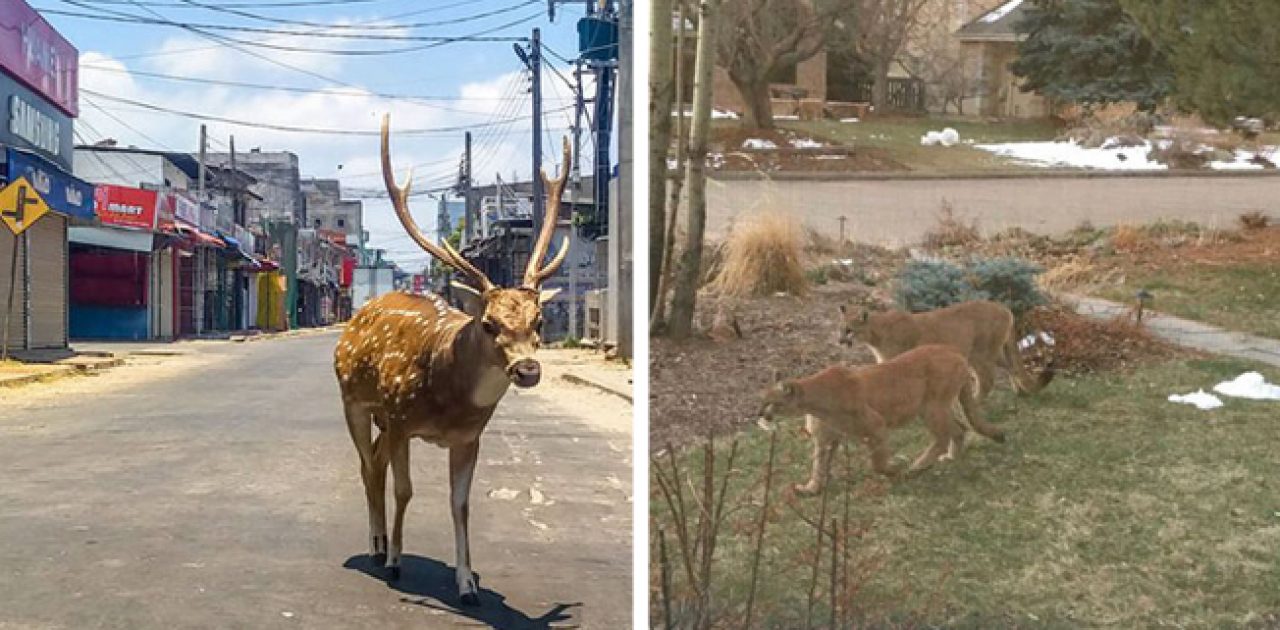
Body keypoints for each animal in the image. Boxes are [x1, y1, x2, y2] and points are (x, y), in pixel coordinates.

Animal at [335, 114, 565, 604]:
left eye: (538, 321)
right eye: (489, 324)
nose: (527, 369)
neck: (446, 398)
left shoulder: (468, 437)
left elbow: (460, 505)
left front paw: (467, 583)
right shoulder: (401, 418)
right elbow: (405, 490)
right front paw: (397, 563)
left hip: (381, 418)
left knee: (375, 462)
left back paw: (381, 543)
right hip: (354, 400)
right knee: (367, 466)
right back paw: (376, 547)